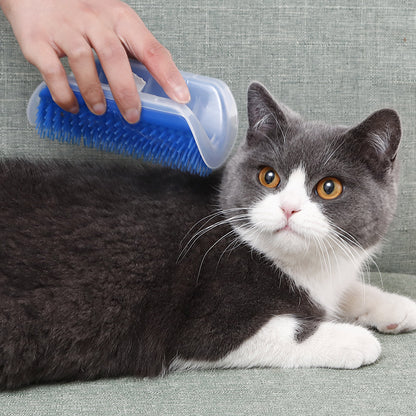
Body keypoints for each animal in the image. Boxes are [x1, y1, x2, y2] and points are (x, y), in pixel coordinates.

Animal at [0, 82, 416, 390]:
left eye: (329, 187)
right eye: (269, 177)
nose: (288, 208)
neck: (297, 265)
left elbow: (346, 290)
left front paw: (395, 306)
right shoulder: (201, 325)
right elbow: (285, 331)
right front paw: (355, 339)